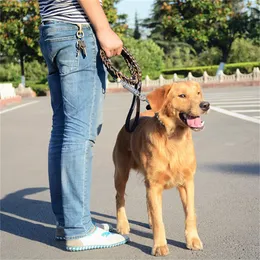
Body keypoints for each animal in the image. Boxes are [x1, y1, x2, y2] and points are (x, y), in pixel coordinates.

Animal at [112, 81, 210, 256]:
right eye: (182, 95)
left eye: (198, 93)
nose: (205, 105)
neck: (174, 140)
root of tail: (129, 123)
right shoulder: (154, 184)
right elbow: (159, 220)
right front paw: (159, 245)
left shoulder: (187, 182)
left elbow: (190, 214)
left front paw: (193, 240)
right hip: (121, 173)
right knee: (120, 197)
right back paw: (122, 224)